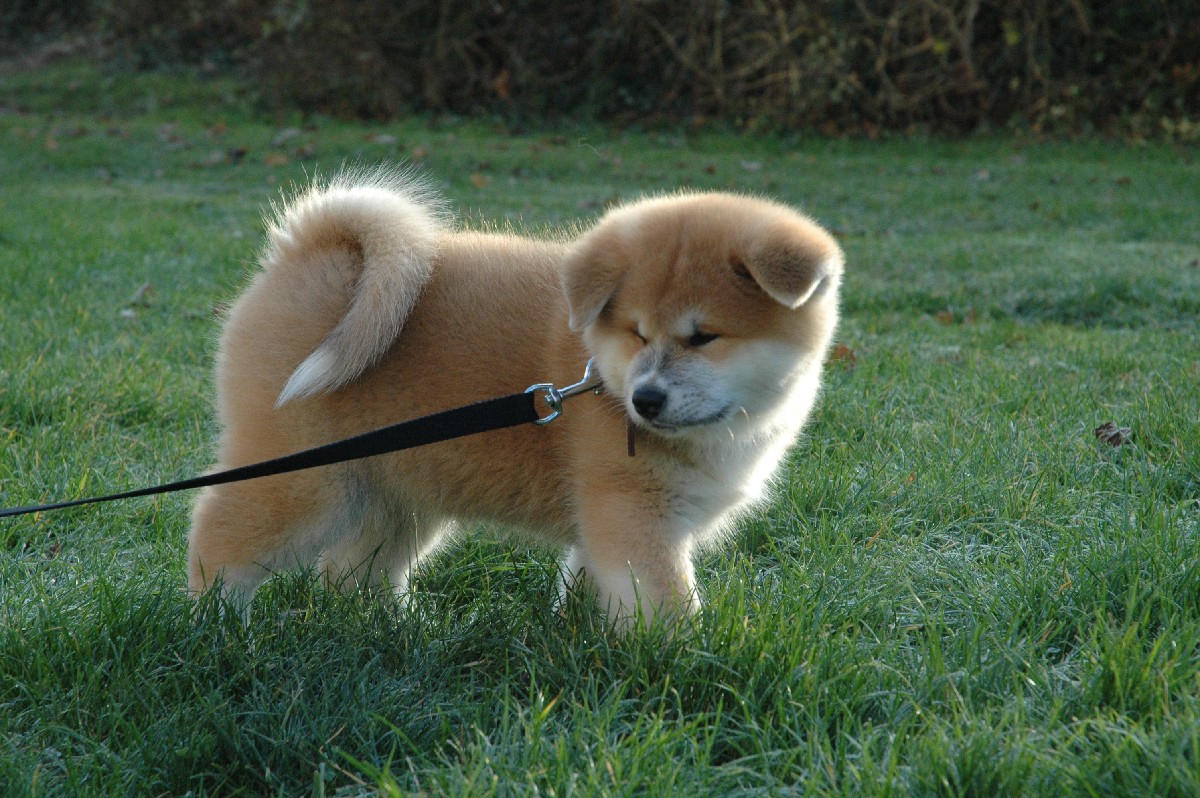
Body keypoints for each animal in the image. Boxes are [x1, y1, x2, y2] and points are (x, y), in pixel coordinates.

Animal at [188, 169, 843, 625]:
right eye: (637, 333)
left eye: (703, 336)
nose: (646, 401)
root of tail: (306, 252)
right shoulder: (636, 512)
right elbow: (668, 604)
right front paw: (686, 663)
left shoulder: (607, 520)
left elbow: (589, 586)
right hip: (306, 485)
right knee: (220, 539)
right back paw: (219, 629)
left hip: (396, 491)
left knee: (353, 575)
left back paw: (403, 631)